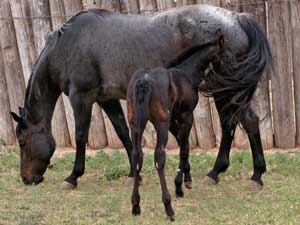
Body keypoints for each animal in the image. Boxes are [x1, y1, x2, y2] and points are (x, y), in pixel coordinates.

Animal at [9, 4, 272, 190]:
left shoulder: (82, 98)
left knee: (246, 122)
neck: (69, 45)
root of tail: (236, 18)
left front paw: (73, 176)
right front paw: (133, 174)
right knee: (231, 124)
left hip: (227, 90)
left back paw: (255, 176)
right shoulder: (107, 99)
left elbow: (81, 136)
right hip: (223, 91)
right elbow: (123, 132)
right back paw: (216, 172)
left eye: (22, 142)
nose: (26, 178)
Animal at [126, 35, 223, 220]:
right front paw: (179, 186)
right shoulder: (186, 116)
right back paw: (168, 207)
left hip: (135, 123)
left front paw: (187, 177)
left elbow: (181, 142)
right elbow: (184, 147)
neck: (186, 74)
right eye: (224, 52)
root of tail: (144, 80)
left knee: (136, 155)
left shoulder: (173, 120)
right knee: (159, 156)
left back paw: (135, 204)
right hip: (161, 124)